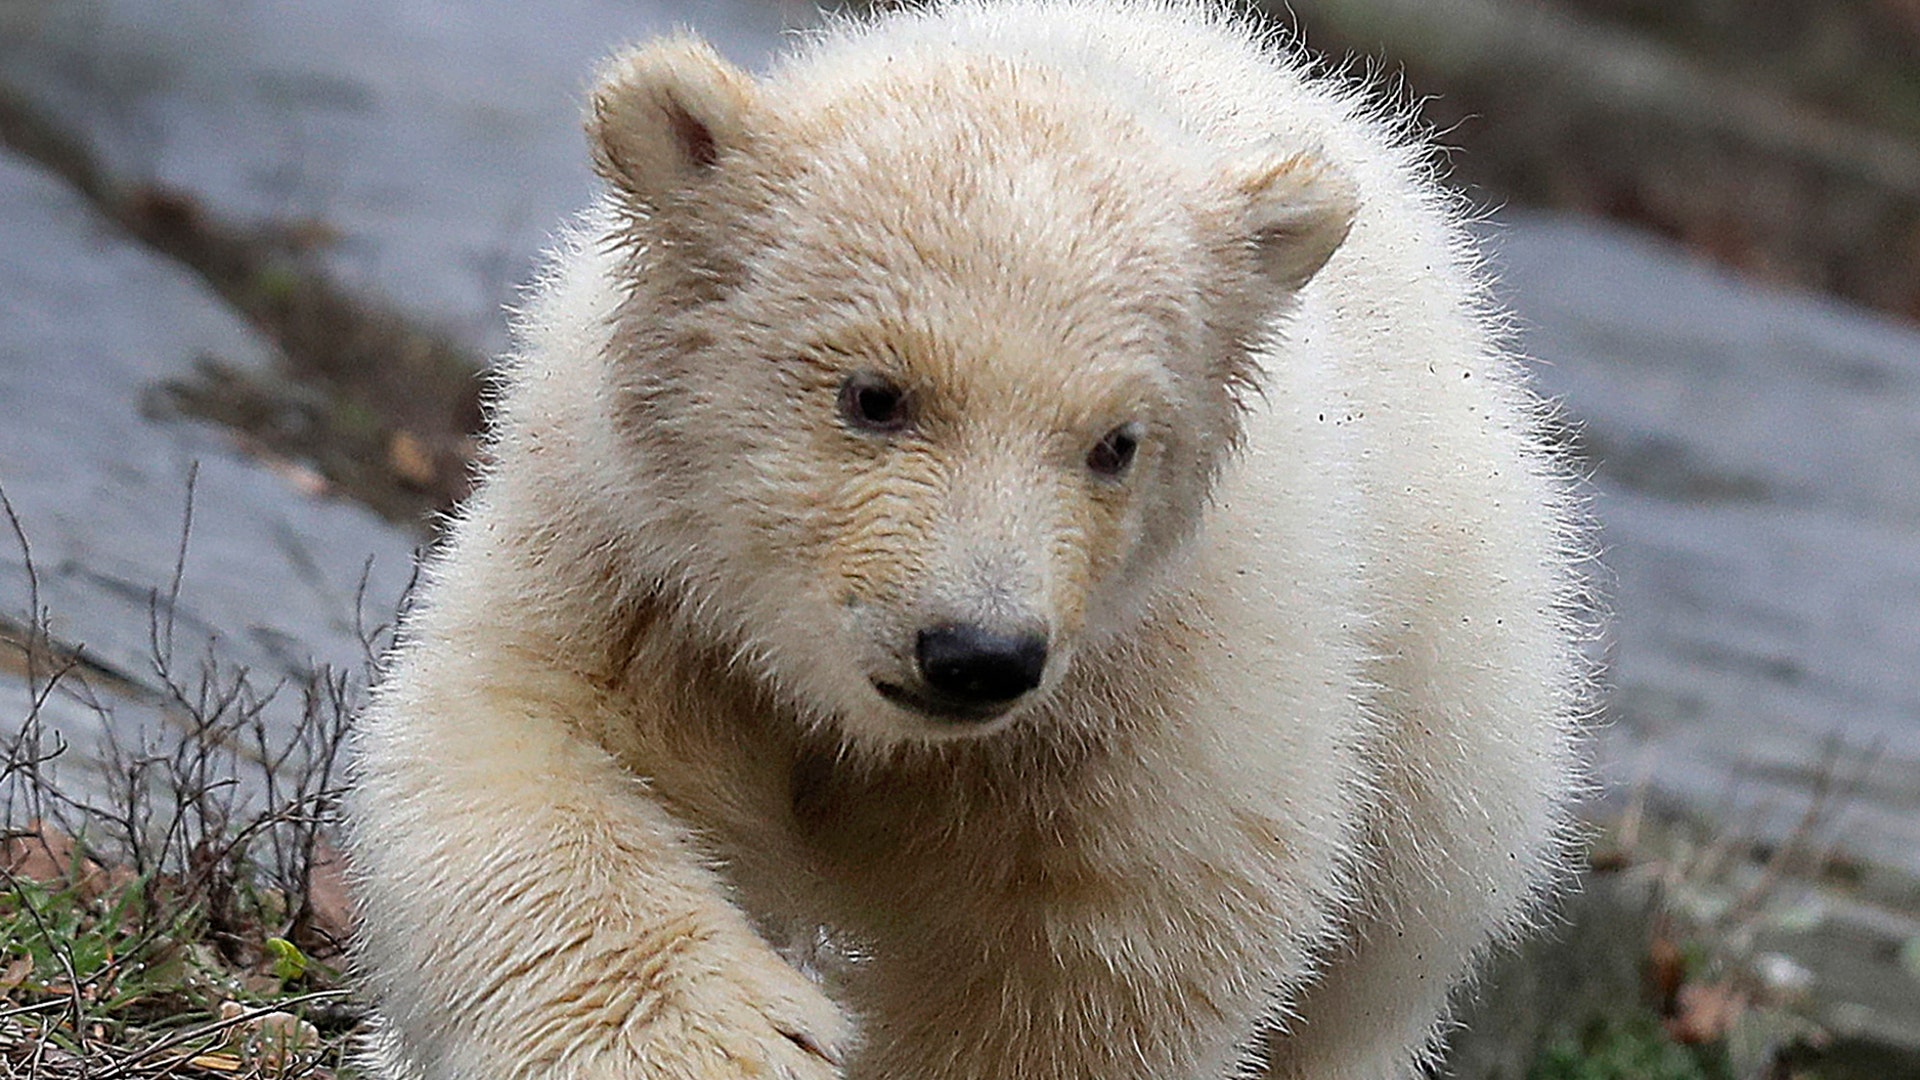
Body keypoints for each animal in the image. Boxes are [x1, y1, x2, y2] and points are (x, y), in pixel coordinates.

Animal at [344, 1, 1589, 1078]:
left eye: (1116, 444)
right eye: (874, 394)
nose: (975, 654)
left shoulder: (1163, 686)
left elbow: (1101, 963)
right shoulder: (638, 561)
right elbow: (531, 745)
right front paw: (722, 1043)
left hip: (1445, 724)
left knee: (1364, 981)